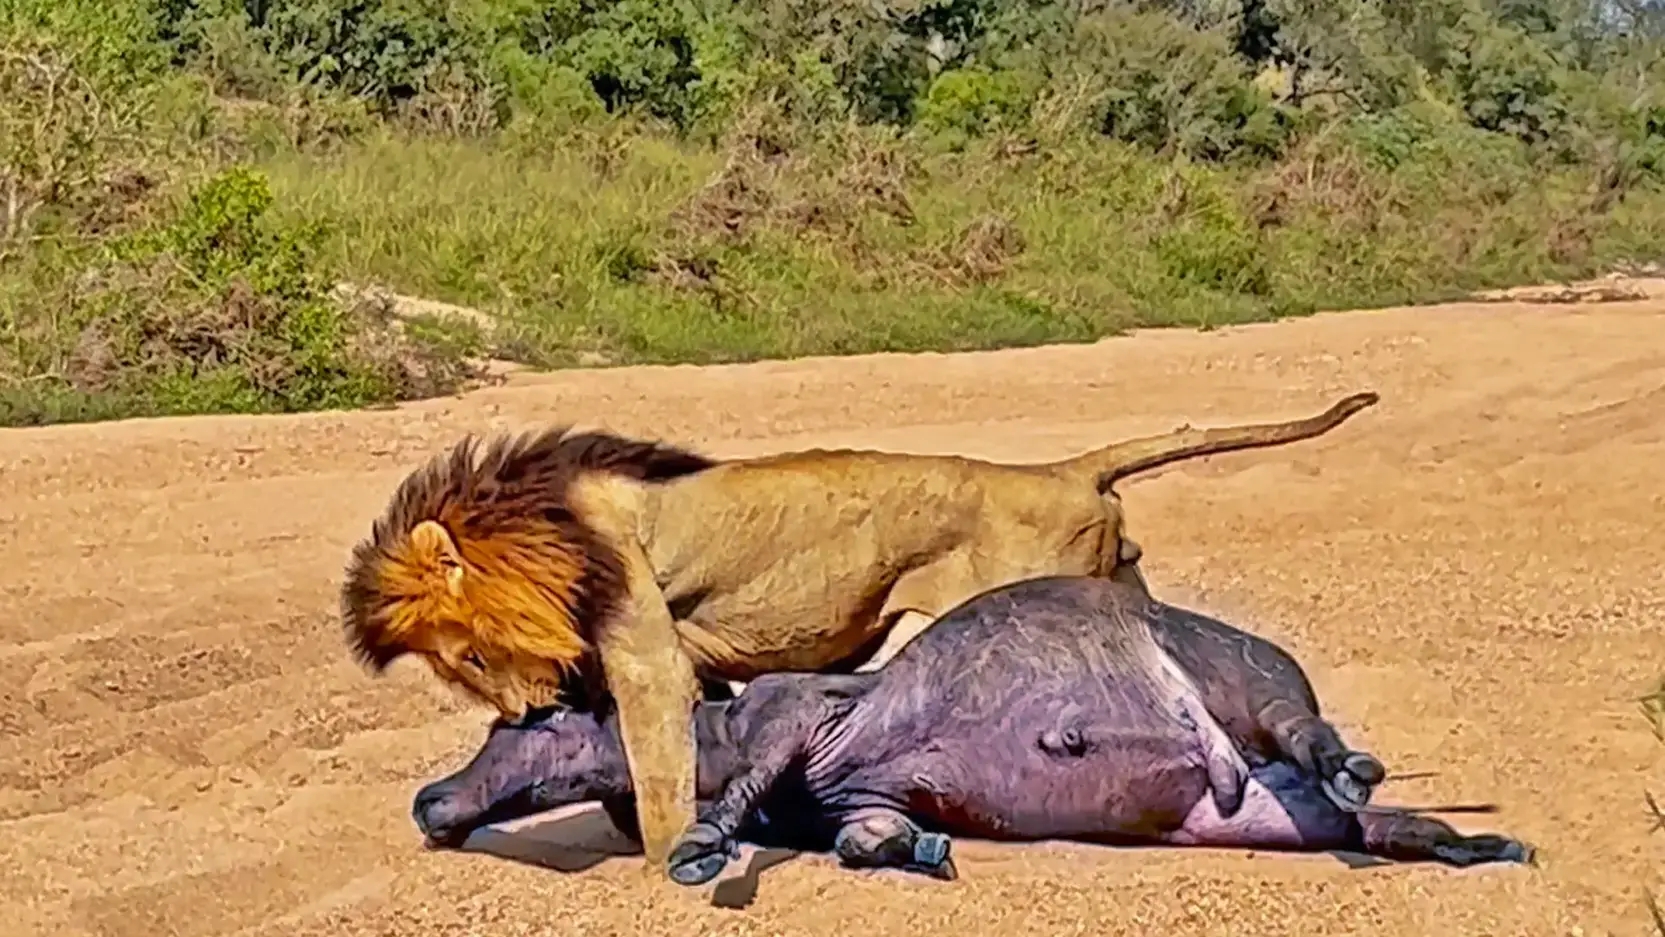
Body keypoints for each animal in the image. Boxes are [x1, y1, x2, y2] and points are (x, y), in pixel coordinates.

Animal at [337, 389, 1378, 872]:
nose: (527, 707)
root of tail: (1060, 470)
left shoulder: (644, 650)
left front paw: (673, 854)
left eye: (471, 656)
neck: (541, 524)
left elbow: (662, 769)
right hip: (1118, 573)